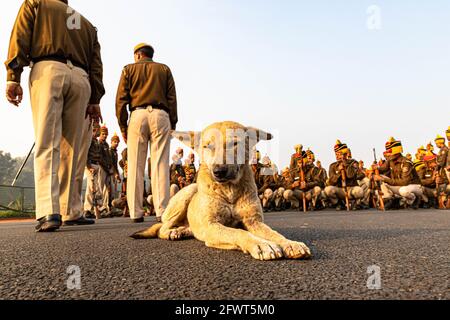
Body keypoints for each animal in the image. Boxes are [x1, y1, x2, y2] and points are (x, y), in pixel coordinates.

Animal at [132, 121, 312, 262]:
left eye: (234, 144)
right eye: (208, 146)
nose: (219, 171)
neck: (229, 190)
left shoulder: (254, 222)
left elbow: (275, 234)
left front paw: (290, 243)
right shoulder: (212, 226)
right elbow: (239, 232)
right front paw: (262, 244)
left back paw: (181, 231)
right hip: (188, 192)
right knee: (162, 228)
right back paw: (172, 232)